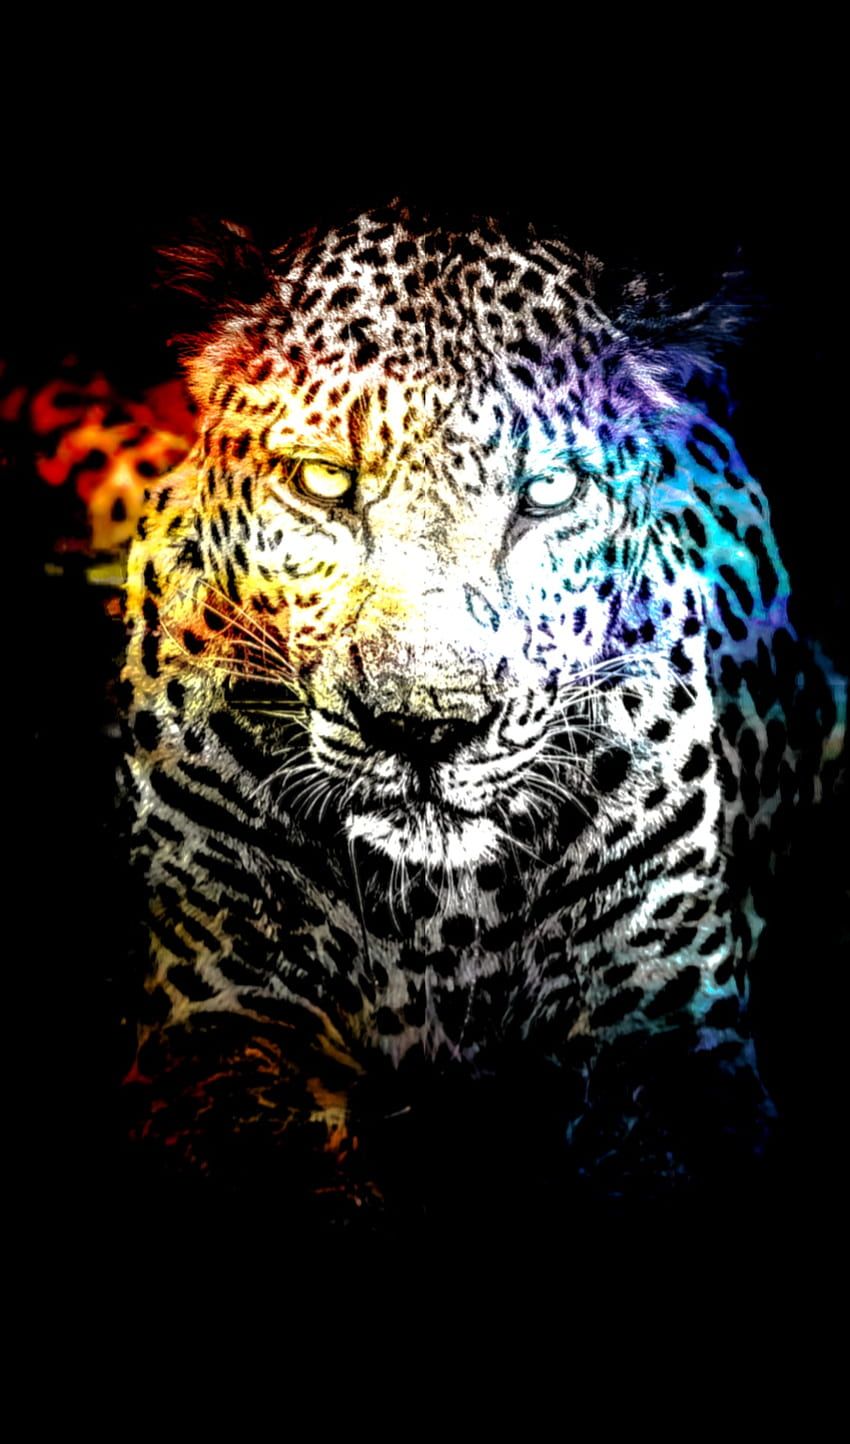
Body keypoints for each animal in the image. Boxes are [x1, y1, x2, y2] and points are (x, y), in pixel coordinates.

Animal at [118, 198, 845, 1220]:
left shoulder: (672, 1035)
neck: (437, 919)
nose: (427, 723)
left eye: (549, 491)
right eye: (323, 481)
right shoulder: (219, 1016)